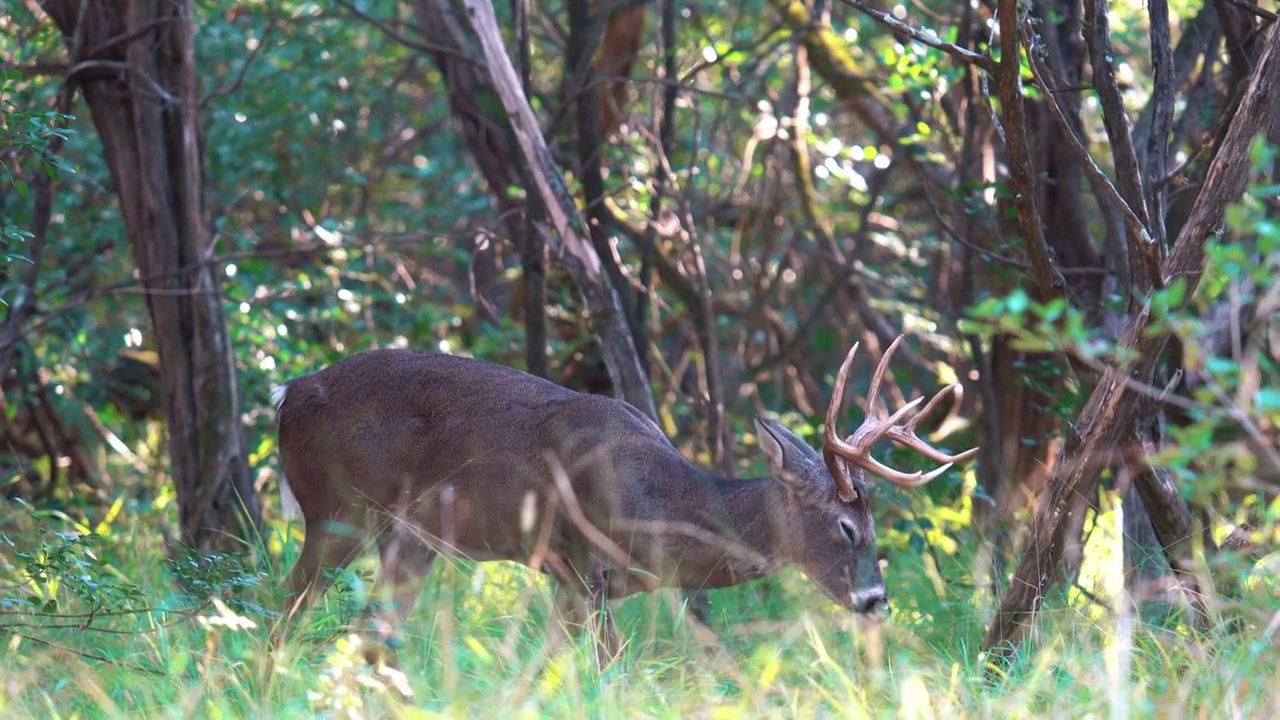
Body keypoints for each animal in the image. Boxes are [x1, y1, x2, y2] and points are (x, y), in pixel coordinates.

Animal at [267, 333, 967, 666]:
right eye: (848, 527)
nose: (876, 601)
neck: (663, 505)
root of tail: (288, 392)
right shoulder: (582, 562)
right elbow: (613, 666)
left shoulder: (572, 581)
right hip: (336, 510)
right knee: (285, 612)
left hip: (411, 538)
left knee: (368, 631)